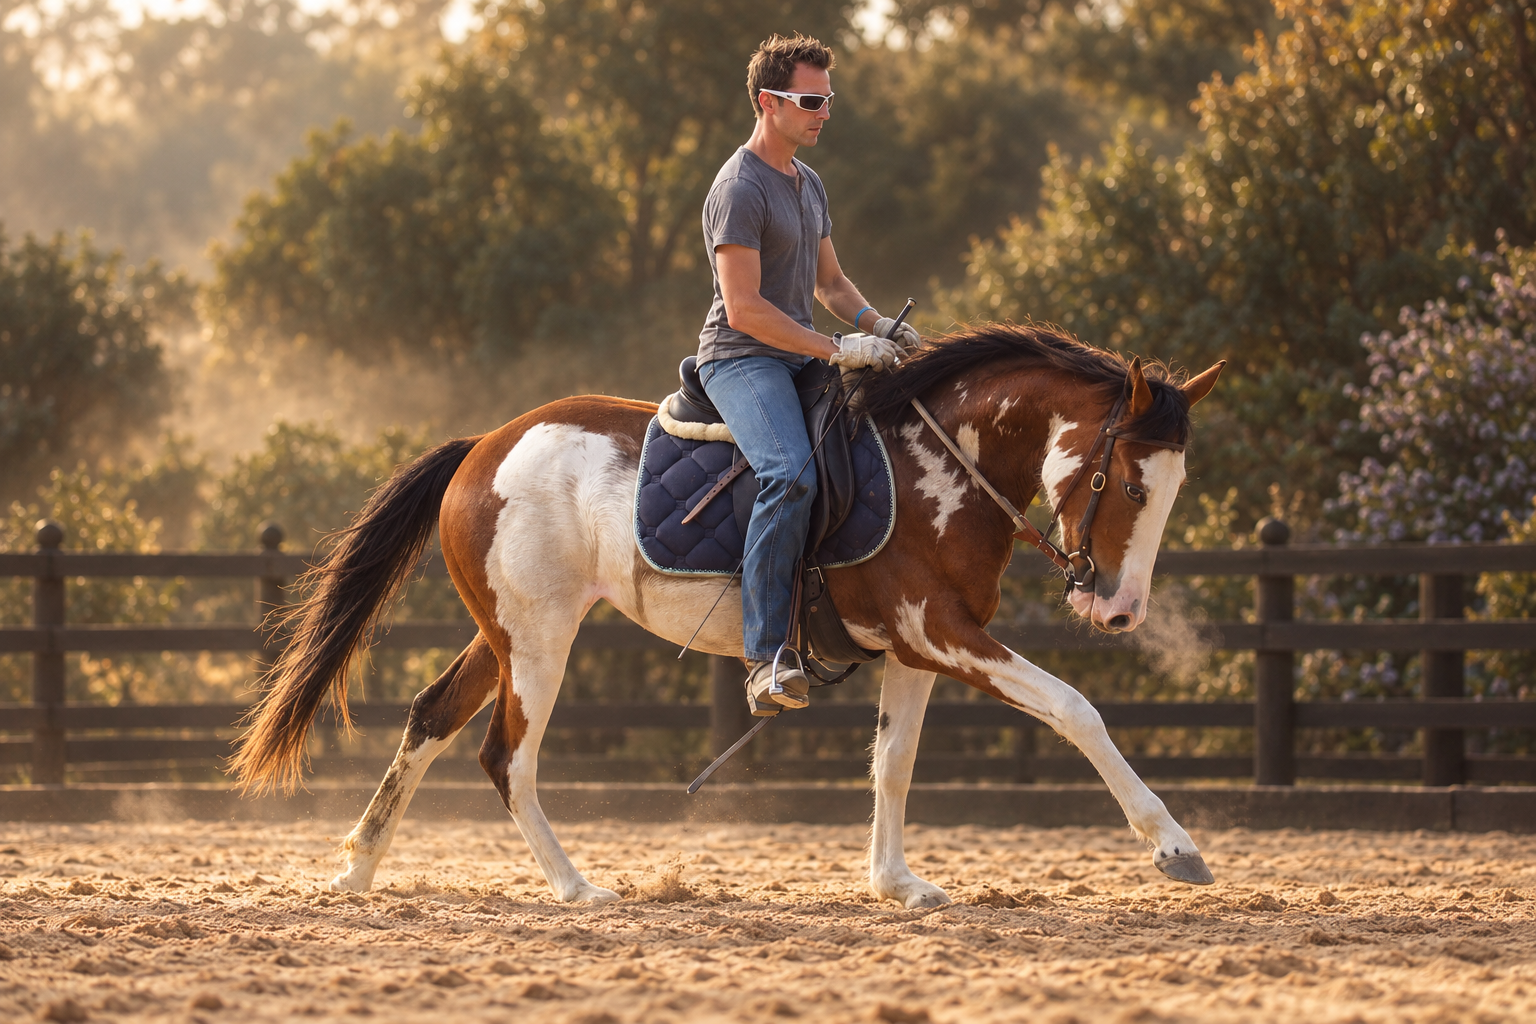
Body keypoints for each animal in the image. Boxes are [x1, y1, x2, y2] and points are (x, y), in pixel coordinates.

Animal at [232, 323, 1225, 909]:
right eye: (1131, 484)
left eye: (1174, 488)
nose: (1119, 608)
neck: (937, 467)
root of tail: (486, 445)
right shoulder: (942, 635)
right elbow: (1074, 710)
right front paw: (1174, 847)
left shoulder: (915, 650)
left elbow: (893, 764)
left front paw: (896, 882)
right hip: (540, 642)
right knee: (506, 756)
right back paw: (578, 887)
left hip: (503, 636)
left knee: (432, 718)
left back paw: (358, 865)